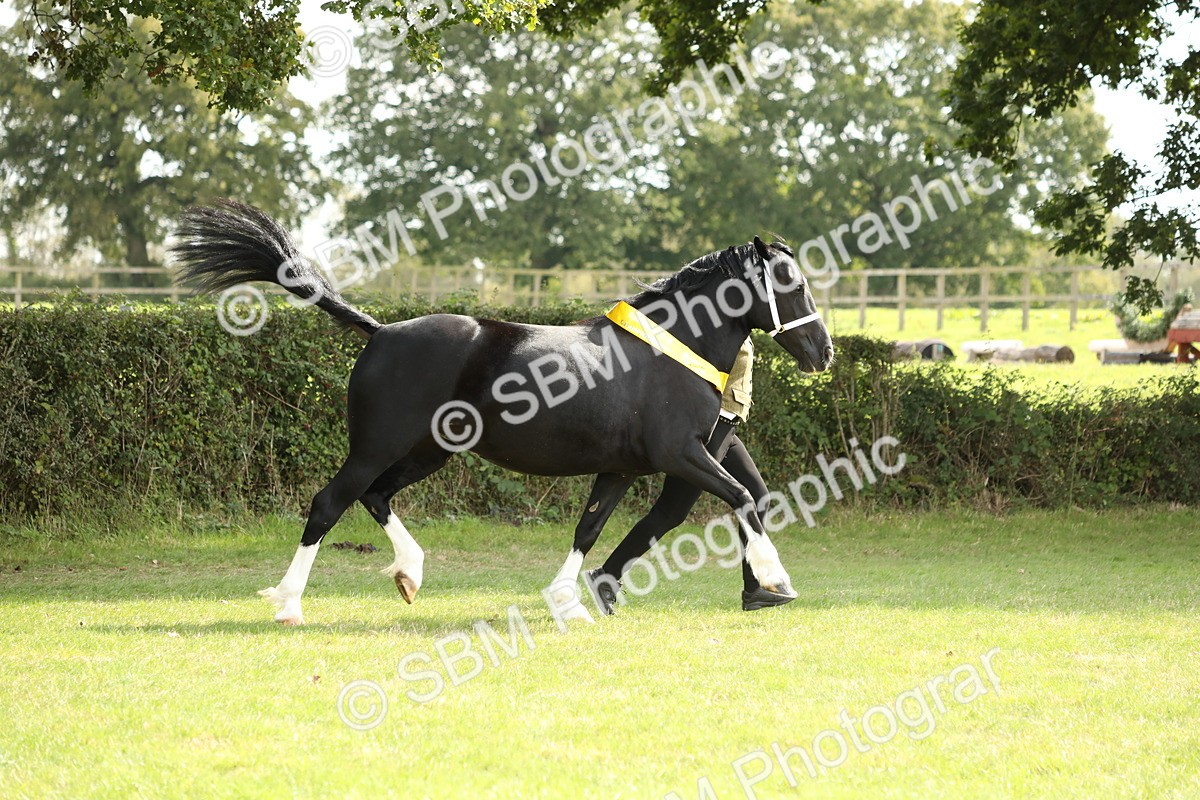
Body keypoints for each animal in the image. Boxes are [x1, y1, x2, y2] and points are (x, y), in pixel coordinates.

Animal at [170, 200, 834, 624]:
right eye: (792, 282)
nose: (824, 352)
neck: (665, 351)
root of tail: (381, 330)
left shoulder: (620, 468)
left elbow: (590, 529)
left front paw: (569, 600)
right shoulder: (683, 456)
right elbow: (742, 498)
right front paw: (772, 579)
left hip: (428, 451)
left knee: (375, 497)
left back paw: (410, 574)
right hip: (378, 445)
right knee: (330, 502)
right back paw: (289, 604)